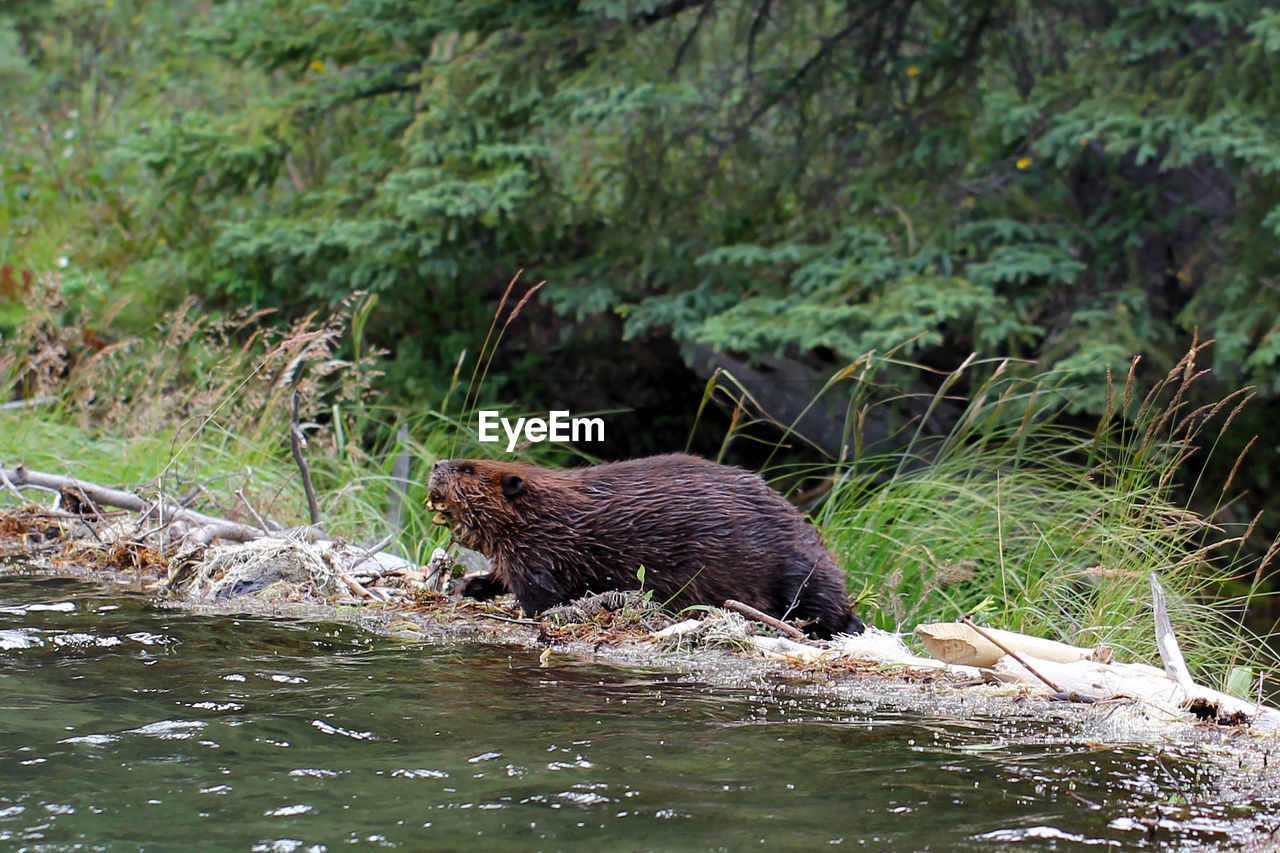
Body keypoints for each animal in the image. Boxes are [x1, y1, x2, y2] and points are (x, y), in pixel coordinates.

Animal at [424, 455, 865, 635]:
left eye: (468, 469)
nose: (436, 465)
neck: (550, 510)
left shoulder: (543, 550)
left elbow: (540, 593)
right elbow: (500, 574)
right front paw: (467, 585)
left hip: (796, 568)